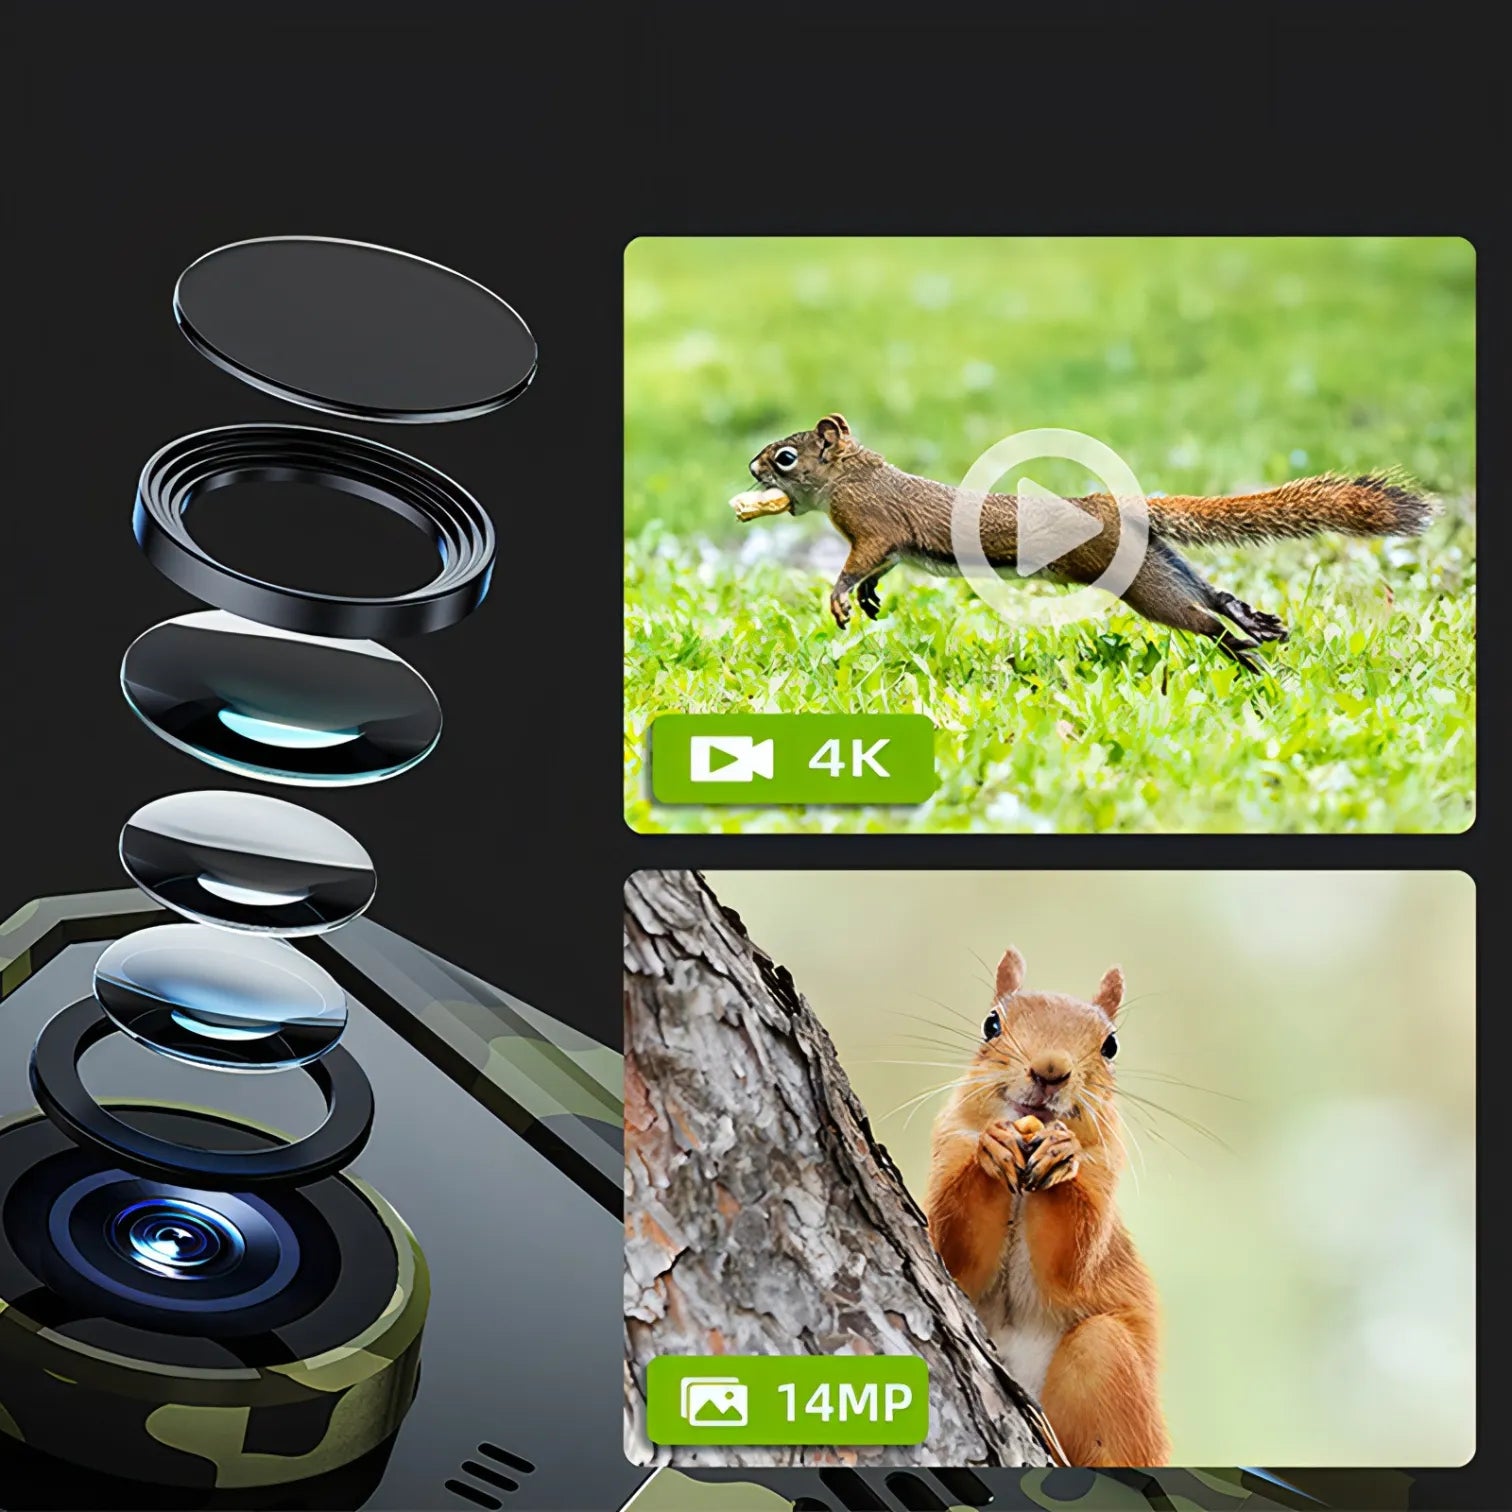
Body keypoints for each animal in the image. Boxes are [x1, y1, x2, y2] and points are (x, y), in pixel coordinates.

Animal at [730, 413, 1434, 671]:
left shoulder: (873, 522)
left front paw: (843, 596)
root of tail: (1116, 505)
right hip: (1156, 563)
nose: (752, 468)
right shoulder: (889, 543)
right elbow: (881, 569)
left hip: (1141, 584)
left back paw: (1241, 648)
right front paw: (872, 600)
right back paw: (1253, 625)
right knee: (1211, 592)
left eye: (786, 456)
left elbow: (860, 560)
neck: (854, 474)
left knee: (1199, 617)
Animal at [924, 946, 1169, 1468]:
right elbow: (954, 1248)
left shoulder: (1103, 1174)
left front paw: (1061, 1153)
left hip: (1106, 1357)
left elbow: (1071, 1260)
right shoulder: (949, 1144)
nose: (1050, 1070)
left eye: (1111, 1046)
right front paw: (993, 1147)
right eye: (991, 1024)